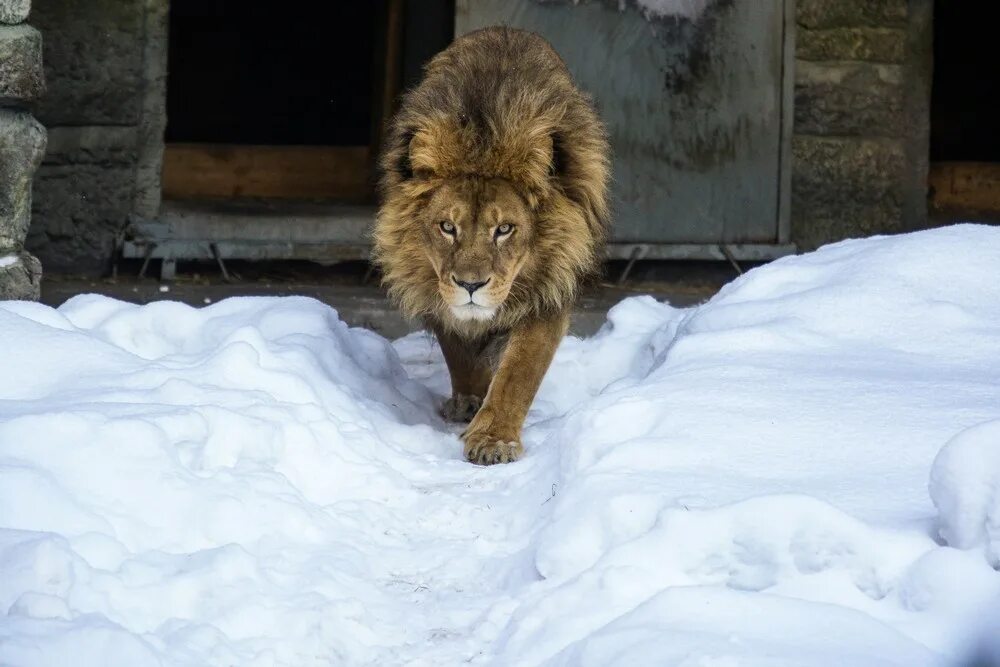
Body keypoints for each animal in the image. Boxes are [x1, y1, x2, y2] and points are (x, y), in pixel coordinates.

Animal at [374, 24, 608, 464]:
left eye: (504, 229)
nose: (470, 285)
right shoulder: (434, 285)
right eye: (447, 227)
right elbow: (458, 350)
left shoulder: (550, 289)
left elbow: (519, 372)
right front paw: (470, 400)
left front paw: (494, 439)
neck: (481, 144)